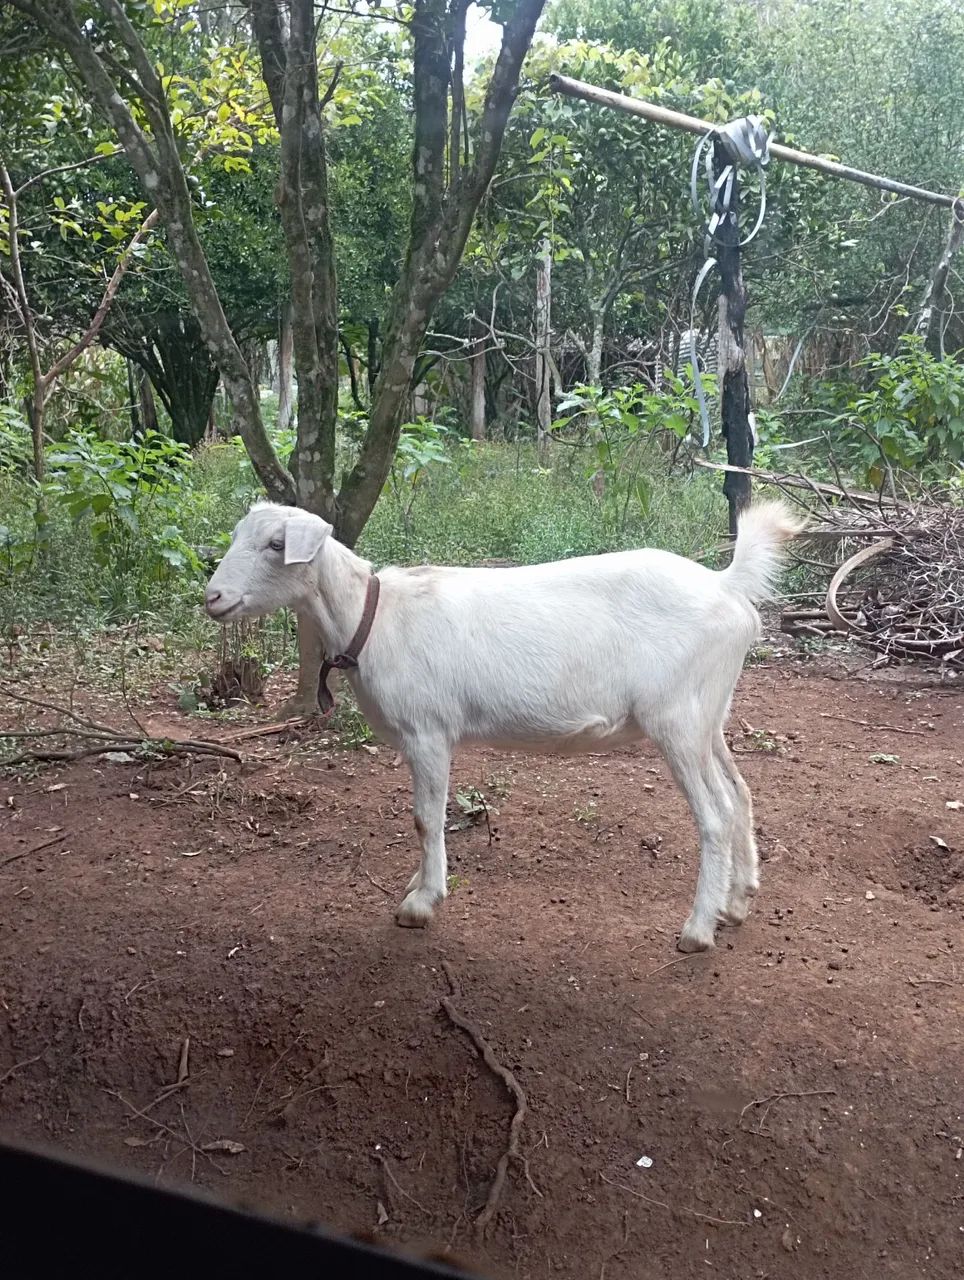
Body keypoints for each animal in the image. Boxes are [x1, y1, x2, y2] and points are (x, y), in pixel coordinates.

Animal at [205, 500, 803, 952]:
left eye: (276, 544)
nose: (213, 596)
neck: (372, 616)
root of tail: (728, 587)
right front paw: (417, 885)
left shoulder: (428, 731)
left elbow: (425, 819)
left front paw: (422, 902)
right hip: (708, 714)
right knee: (741, 793)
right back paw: (737, 901)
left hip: (676, 718)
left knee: (715, 813)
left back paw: (698, 929)